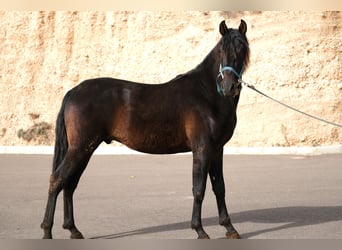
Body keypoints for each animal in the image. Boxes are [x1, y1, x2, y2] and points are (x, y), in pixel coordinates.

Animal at [40, 19, 248, 238]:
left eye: (242, 47)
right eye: (222, 49)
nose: (228, 87)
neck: (207, 94)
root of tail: (73, 92)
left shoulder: (216, 150)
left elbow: (219, 187)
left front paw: (229, 228)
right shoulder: (202, 149)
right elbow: (199, 189)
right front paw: (200, 230)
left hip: (84, 150)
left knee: (69, 185)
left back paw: (73, 230)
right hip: (80, 149)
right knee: (57, 180)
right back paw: (47, 231)